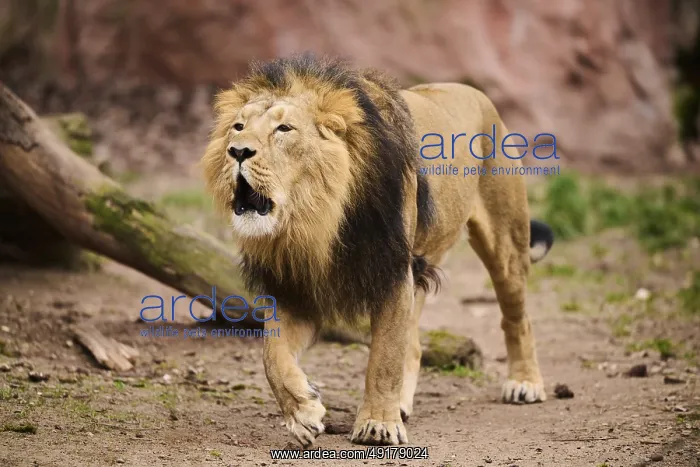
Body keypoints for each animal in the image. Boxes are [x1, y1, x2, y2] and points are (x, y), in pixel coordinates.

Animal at [201, 53, 555, 447]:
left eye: (284, 129)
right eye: (238, 126)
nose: (238, 151)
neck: (315, 218)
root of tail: (475, 92)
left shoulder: (392, 272)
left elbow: (383, 357)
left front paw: (377, 425)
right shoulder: (295, 289)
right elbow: (272, 357)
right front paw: (302, 411)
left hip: (505, 242)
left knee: (516, 316)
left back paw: (524, 382)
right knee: (413, 344)